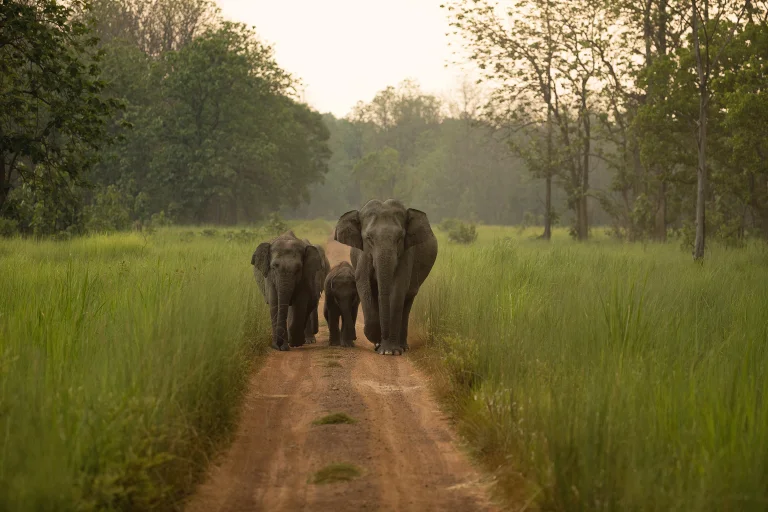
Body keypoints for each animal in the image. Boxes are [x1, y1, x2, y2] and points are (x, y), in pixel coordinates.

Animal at [334, 199, 437, 356]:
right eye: (369, 238)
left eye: (399, 238)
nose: (381, 337)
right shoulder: (363, 253)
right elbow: (363, 284)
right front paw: (378, 341)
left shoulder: (406, 253)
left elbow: (397, 289)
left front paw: (390, 351)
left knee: (407, 299)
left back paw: (402, 347)